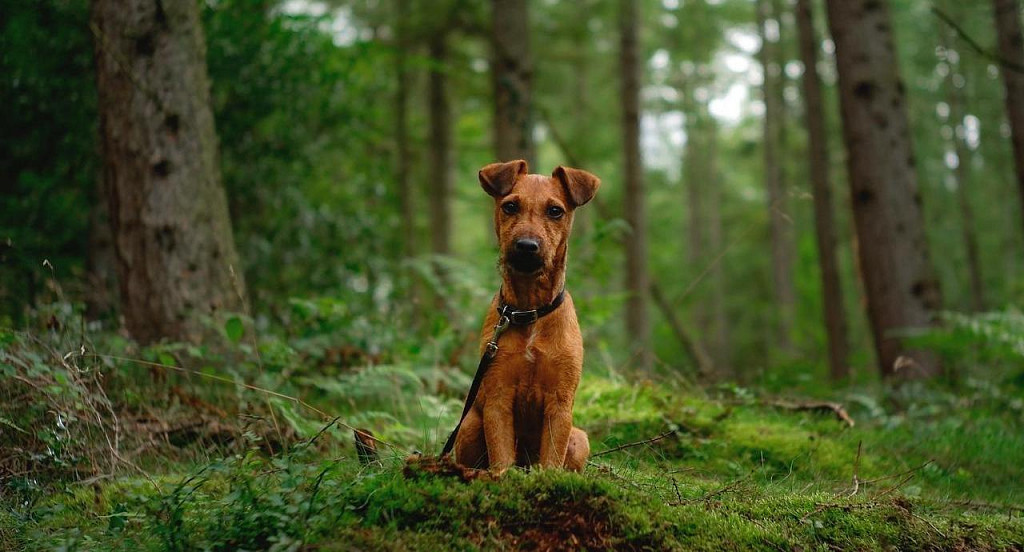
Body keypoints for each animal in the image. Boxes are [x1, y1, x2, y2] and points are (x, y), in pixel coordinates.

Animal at [456, 159, 598, 475]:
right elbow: (500, 455)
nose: (526, 246)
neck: (528, 311)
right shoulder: (497, 397)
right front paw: (501, 477)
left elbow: (552, 459)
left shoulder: (559, 402)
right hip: (469, 425)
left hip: (579, 439)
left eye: (555, 211)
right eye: (510, 206)